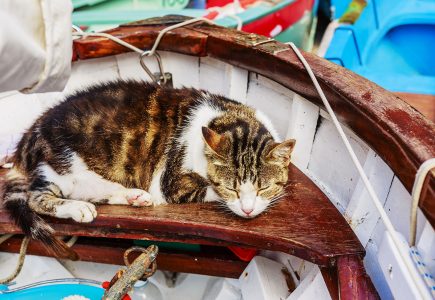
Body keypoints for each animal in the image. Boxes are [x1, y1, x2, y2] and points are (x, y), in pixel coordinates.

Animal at [1, 81, 296, 258]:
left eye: (264, 186)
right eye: (231, 188)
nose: (248, 210)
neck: (225, 117)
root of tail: (28, 137)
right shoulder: (172, 183)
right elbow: (205, 191)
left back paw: (133, 196)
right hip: (63, 161)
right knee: (38, 197)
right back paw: (78, 208)